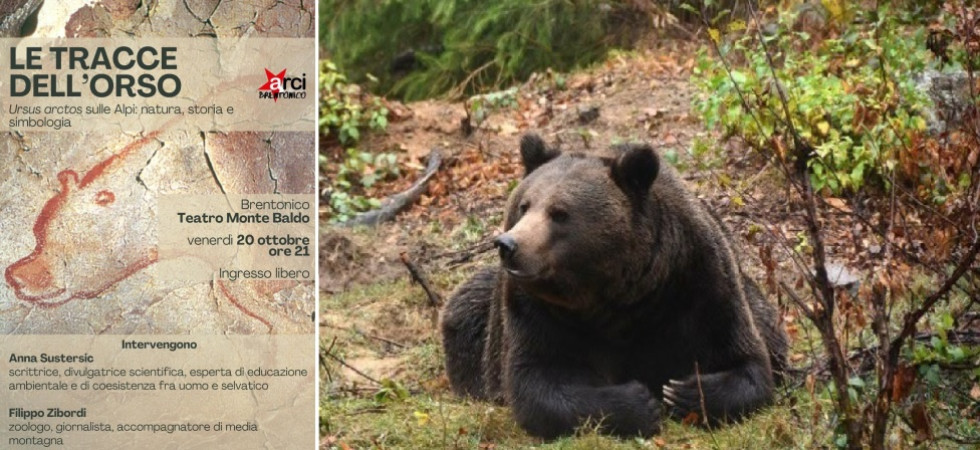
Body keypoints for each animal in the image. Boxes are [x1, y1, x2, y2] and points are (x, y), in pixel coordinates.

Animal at [441, 133, 788, 439]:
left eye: (559, 213)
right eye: (524, 205)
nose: (509, 244)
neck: (616, 295)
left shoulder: (698, 284)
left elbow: (748, 363)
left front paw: (684, 392)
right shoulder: (536, 312)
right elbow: (537, 384)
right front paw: (640, 402)